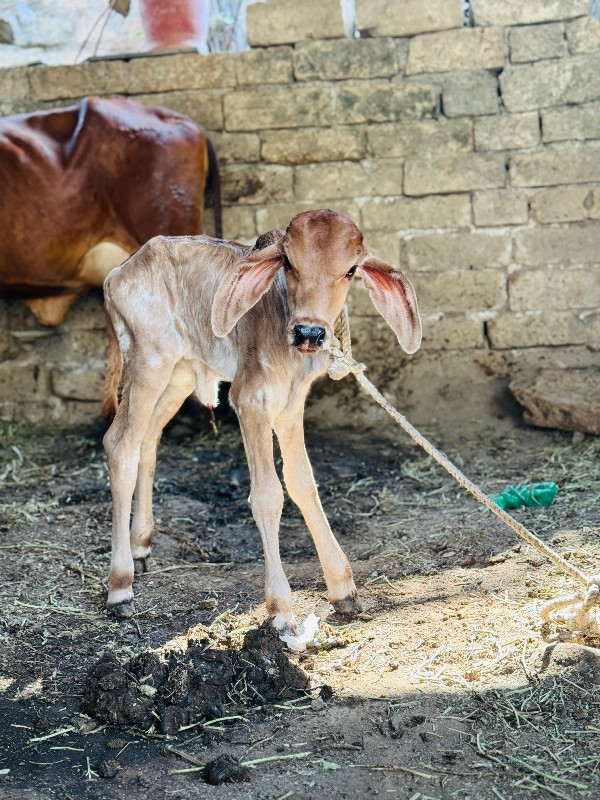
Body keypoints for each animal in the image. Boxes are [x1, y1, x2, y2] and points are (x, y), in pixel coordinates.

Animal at [102, 209, 422, 636]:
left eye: (351, 269)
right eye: (288, 262)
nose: (309, 333)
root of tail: (119, 272)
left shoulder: (291, 406)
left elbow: (303, 483)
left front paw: (343, 588)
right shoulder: (250, 400)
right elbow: (268, 495)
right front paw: (281, 609)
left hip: (178, 376)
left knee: (147, 442)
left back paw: (140, 544)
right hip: (148, 364)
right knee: (120, 446)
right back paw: (120, 586)